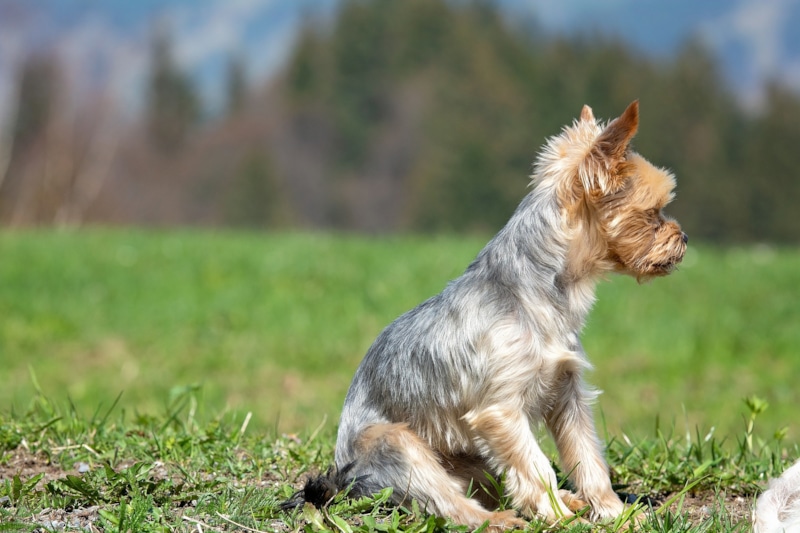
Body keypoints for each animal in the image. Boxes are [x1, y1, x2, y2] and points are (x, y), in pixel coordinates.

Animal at [286, 100, 688, 528]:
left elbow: (587, 456)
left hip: (476, 458)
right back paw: (501, 520)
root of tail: (342, 483)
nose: (684, 237)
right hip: (396, 444)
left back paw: (567, 501)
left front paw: (614, 512)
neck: (539, 290)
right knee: (450, 504)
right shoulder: (501, 411)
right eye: (653, 213)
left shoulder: (567, 392)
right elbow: (535, 467)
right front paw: (560, 518)